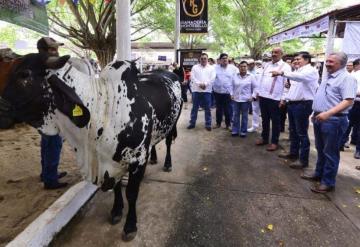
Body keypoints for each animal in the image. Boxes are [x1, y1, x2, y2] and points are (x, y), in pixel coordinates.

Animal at [1, 53, 183, 239]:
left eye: (24, 74)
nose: (1, 109)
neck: (102, 109)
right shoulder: (111, 162)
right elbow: (117, 187)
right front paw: (116, 210)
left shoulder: (137, 159)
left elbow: (131, 193)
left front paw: (130, 226)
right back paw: (153, 158)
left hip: (172, 125)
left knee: (168, 143)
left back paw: (168, 163)